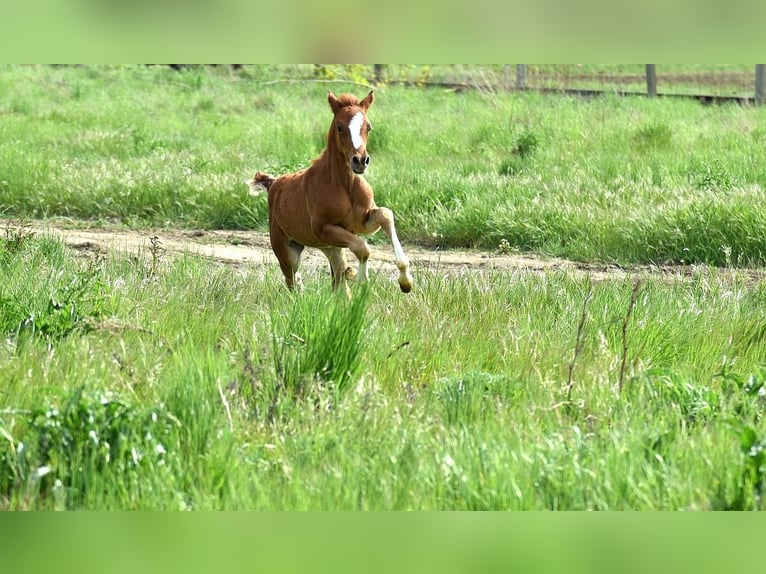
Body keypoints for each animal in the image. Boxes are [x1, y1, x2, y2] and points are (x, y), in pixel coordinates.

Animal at [248, 90, 414, 300]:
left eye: (368, 127)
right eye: (340, 127)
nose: (360, 161)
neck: (346, 186)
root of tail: (273, 183)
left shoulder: (360, 224)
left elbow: (385, 215)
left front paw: (406, 282)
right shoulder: (323, 228)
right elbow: (362, 247)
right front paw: (360, 279)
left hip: (330, 247)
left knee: (335, 278)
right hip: (288, 249)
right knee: (293, 279)